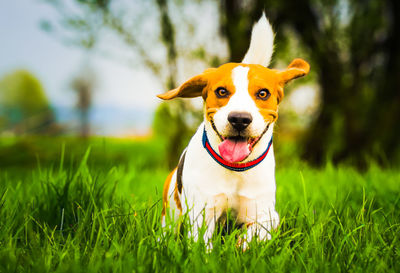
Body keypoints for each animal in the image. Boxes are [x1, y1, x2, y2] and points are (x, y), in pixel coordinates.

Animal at [156, 13, 310, 246]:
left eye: (263, 93)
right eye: (221, 91)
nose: (239, 119)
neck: (235, 168)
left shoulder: (265, 214)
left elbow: (256, 233)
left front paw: (241, 245)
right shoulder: (202, 215)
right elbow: (202, 244)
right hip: (170, 214)